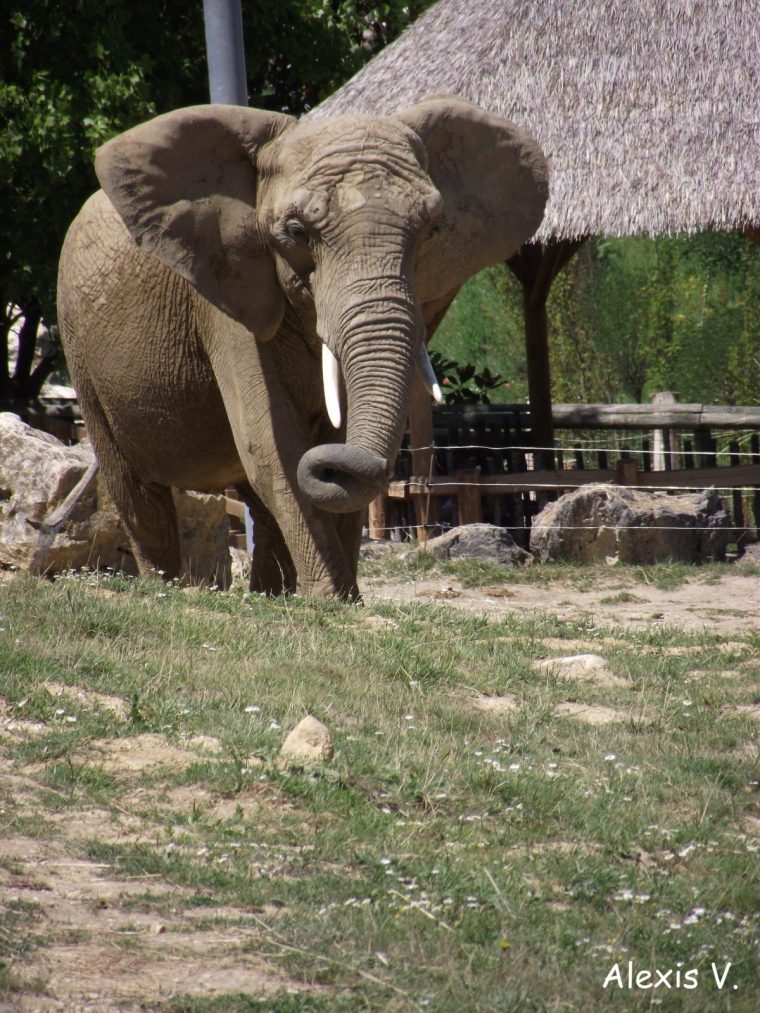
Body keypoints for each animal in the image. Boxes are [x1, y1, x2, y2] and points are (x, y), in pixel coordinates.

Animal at [58, 95, 547, 595]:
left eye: (431, 230)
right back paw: (167, 587)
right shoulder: (226, 294)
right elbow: (270, 446)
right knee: (135, 491)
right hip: (78, 343)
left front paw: (342, 599)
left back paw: (269, 594)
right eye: (295, 232)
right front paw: (333, 600)